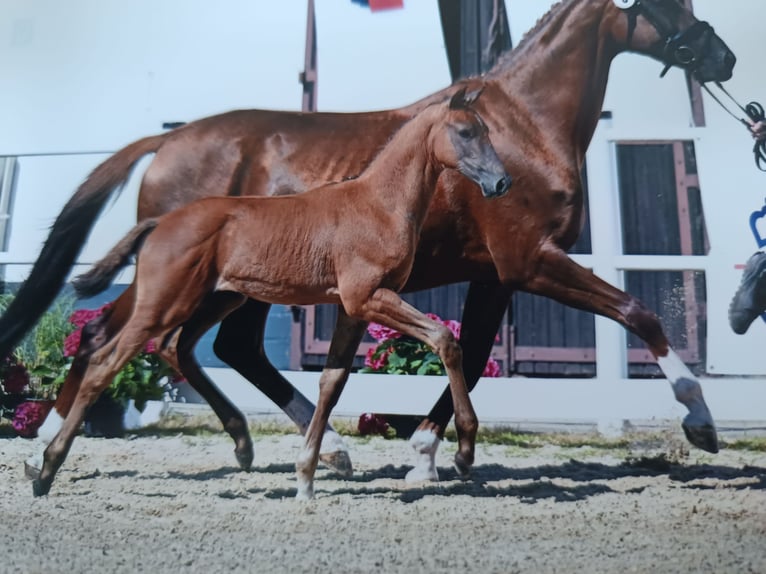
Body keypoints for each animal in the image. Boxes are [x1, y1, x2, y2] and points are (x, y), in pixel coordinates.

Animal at [31, 89, 511, 498]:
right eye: (465, 132)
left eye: (488, 131)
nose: (501, 183)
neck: (377, 204)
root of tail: (160, 223)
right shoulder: (369, 298)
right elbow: (446, 340)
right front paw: (465, 451)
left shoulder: (354, 309)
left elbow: (332, 382)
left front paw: (307, 477)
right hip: (164, 304)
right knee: (104, 363)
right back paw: (46, 469)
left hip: (218, 299)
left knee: (170, 348)